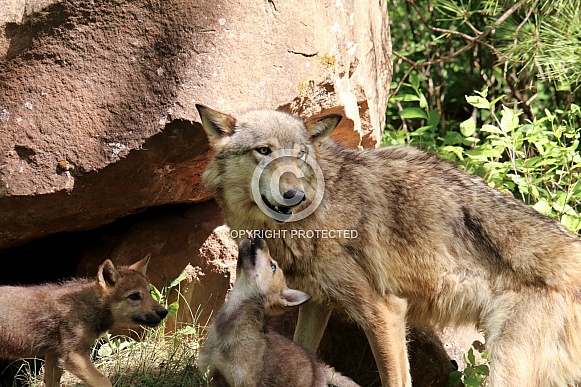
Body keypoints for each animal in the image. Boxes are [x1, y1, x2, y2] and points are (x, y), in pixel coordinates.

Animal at [0, 258, 168, 387]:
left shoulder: (55, 356)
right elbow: (105, 381)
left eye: (149, 293)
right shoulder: (74, 357)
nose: (164, 312)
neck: (86, 307)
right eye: (134, 296)